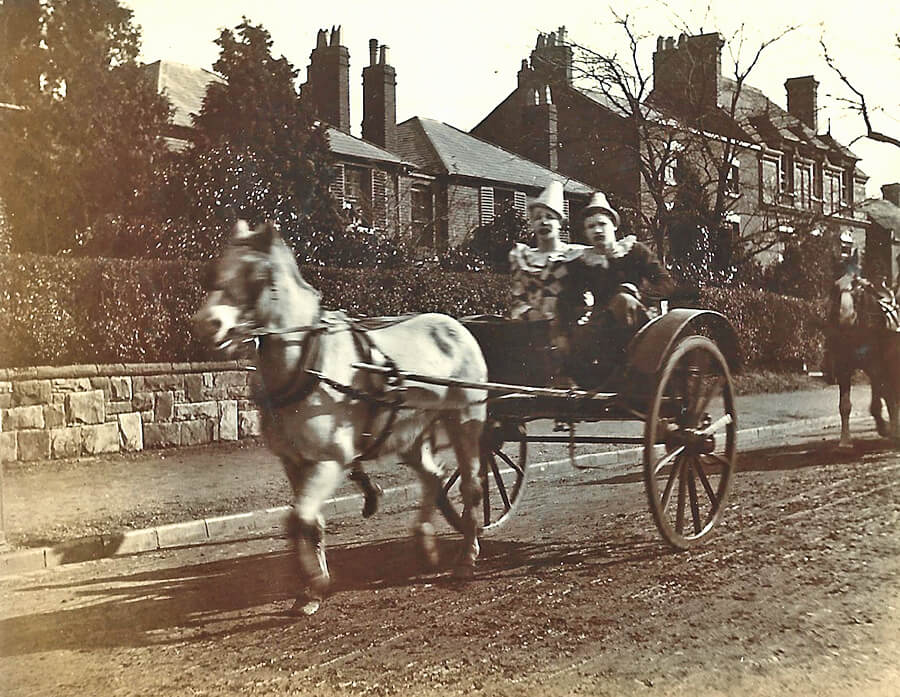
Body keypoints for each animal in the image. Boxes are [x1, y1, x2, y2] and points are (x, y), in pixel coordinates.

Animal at [190, 220, 486, 612]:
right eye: (215, 268)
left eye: (256, 276)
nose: (207, 324)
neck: (307, 361)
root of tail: (458, 326)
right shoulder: (294, 462)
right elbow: (307, 521)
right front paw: (310, 588)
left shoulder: (331, 459)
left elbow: (299, 518)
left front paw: (315, 582)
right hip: (409, 431)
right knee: (434, 478)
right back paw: (426, 544)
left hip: (465, 419)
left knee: (471, 487)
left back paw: (466, 558)